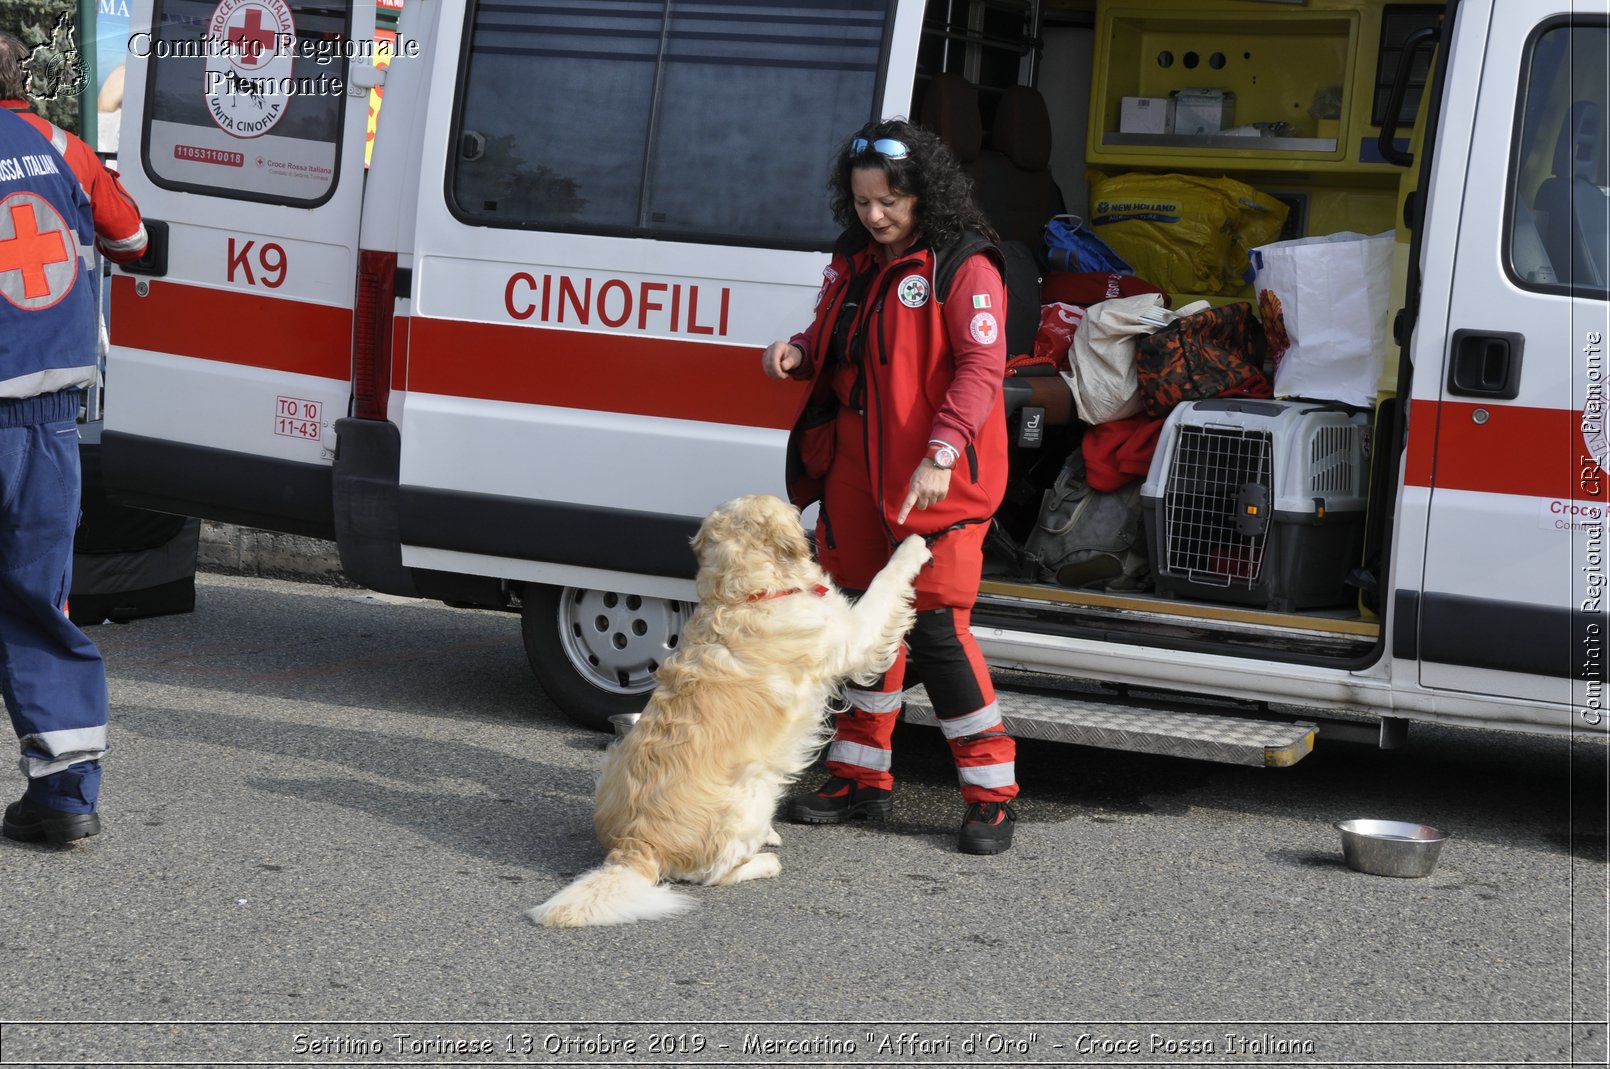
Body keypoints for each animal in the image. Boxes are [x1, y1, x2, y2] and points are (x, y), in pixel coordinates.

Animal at [528, 495, 933, 920]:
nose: (808, 509)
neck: (746, 595)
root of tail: (634, 849)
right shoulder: (851, 637)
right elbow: (882, 583)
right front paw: (913, 545)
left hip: (612, 760)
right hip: (753, 787)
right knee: (718, 873)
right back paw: (765, 860)